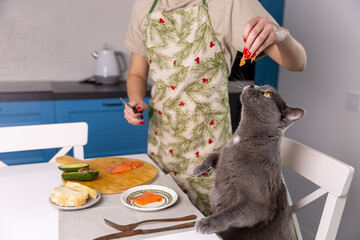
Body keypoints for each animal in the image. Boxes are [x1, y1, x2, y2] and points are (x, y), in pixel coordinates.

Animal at [194, 85, 304, 240]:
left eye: (267, 94)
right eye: (263, 87)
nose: (253, 85)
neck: (239, 140)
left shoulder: (256, 204)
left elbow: (229, 214)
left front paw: (206, 223)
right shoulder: (224, 158)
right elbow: (214, 155)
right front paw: (200, 169)